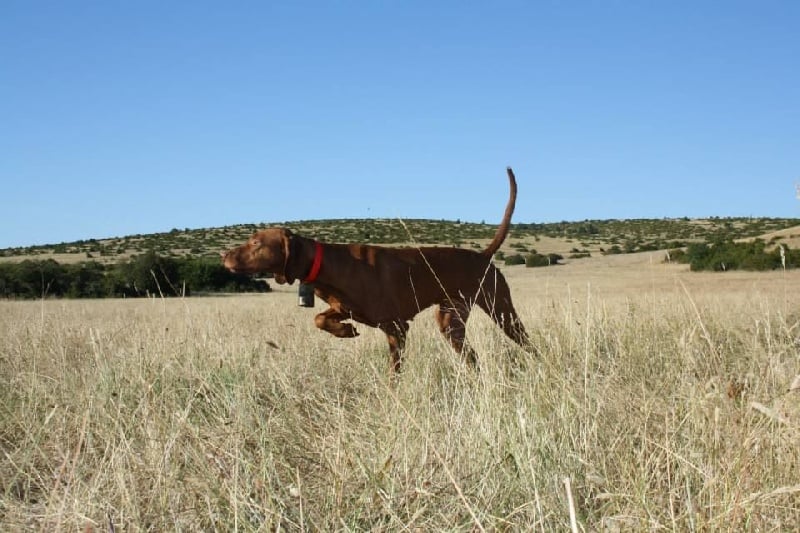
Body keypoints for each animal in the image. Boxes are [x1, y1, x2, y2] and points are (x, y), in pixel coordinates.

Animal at [222, 167, 529, 372]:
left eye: (256, 242)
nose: (224, 255)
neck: (328, 265)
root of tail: (483, 256)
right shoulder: (343, 308)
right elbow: (320, 319)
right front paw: (344, 331)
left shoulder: (397, 328)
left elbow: (394, 372)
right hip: (451, 320)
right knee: (472, 357)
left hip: (501, 311)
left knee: (528, 345)